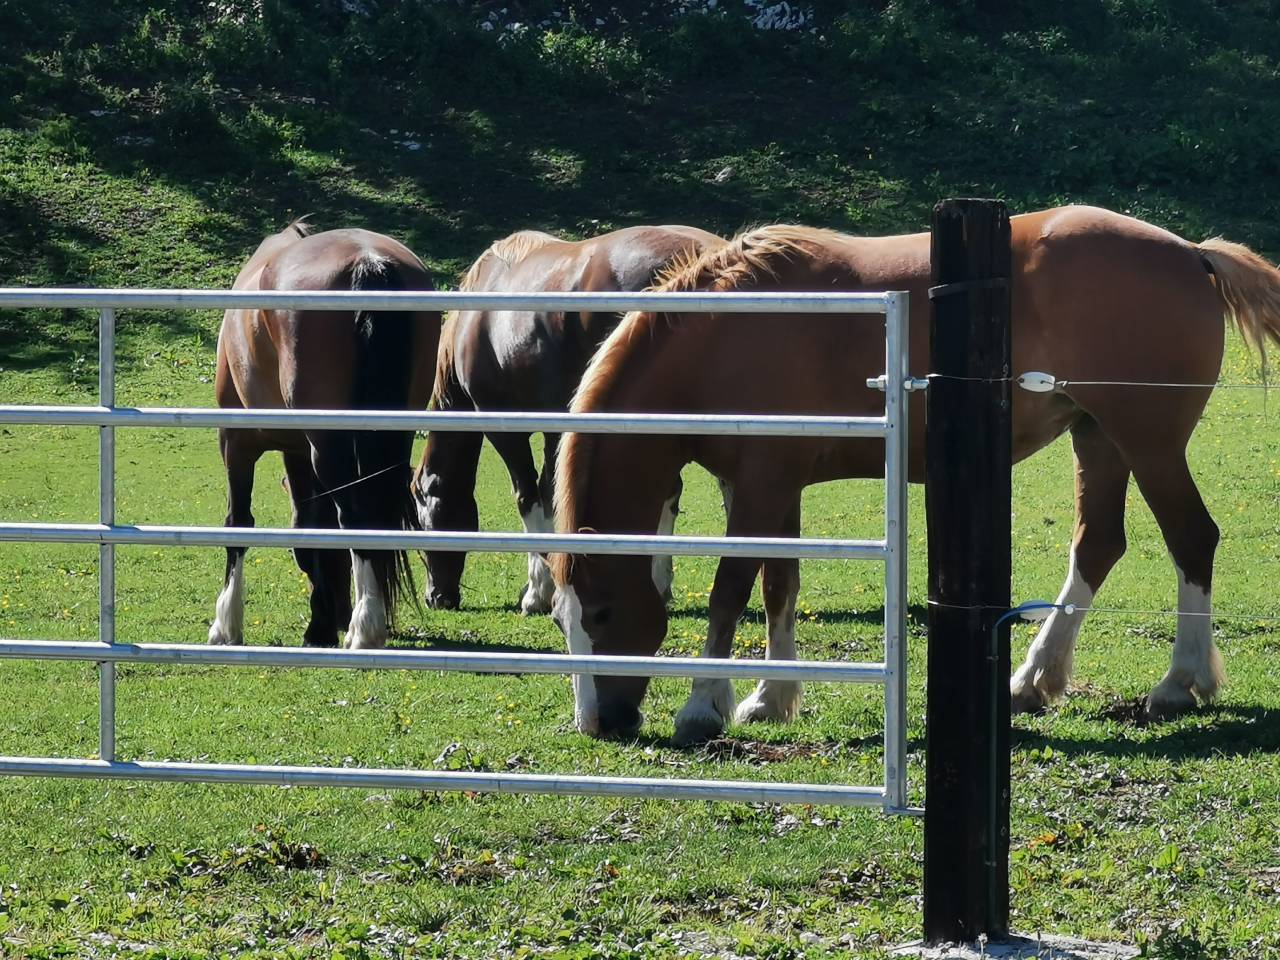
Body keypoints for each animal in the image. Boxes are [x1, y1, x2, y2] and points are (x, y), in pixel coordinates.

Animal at [209, 219, 440, 650]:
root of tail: (369, 261)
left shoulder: (235, 442)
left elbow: (239, 522)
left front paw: (226, 624)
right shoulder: (298, 452)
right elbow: (311, 529)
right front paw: (322, 622)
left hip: (328, 443)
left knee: (355, 515)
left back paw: (365, 629)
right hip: (390, 434)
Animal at [412, 224, 722, 614]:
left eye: (422, 519)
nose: (437, 597)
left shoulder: (504, 427)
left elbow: (530, 496)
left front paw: (537, 592)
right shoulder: (554, 427)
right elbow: (550, 493)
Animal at [549, 205, 1280, 744]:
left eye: (604, 611)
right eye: (561, 621)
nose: (600, 724)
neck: (728, 335)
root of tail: (1190, 251)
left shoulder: (759, 489)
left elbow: (731, 589)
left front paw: (705, 704)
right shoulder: (771, 487)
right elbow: (780, 584)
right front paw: (772, 696)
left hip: (1148, 444)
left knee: (1192, 538)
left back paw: (1179, 683)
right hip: (1096, 437)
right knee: (1099, 545)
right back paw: (1033, 679)